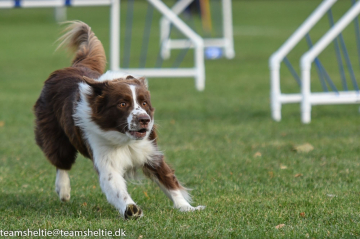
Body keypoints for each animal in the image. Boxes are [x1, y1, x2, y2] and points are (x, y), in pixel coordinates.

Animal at [33, 21, 205, 219]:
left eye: (144, 103)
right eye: (122, 104)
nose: (144, 120)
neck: (125, 139)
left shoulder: (151, 152)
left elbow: (169, 181)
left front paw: (187, 207)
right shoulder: (105, 158)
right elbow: (115, 186)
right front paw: (131, 208)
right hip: (54, 134)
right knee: (61, 161)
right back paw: (63, 190)